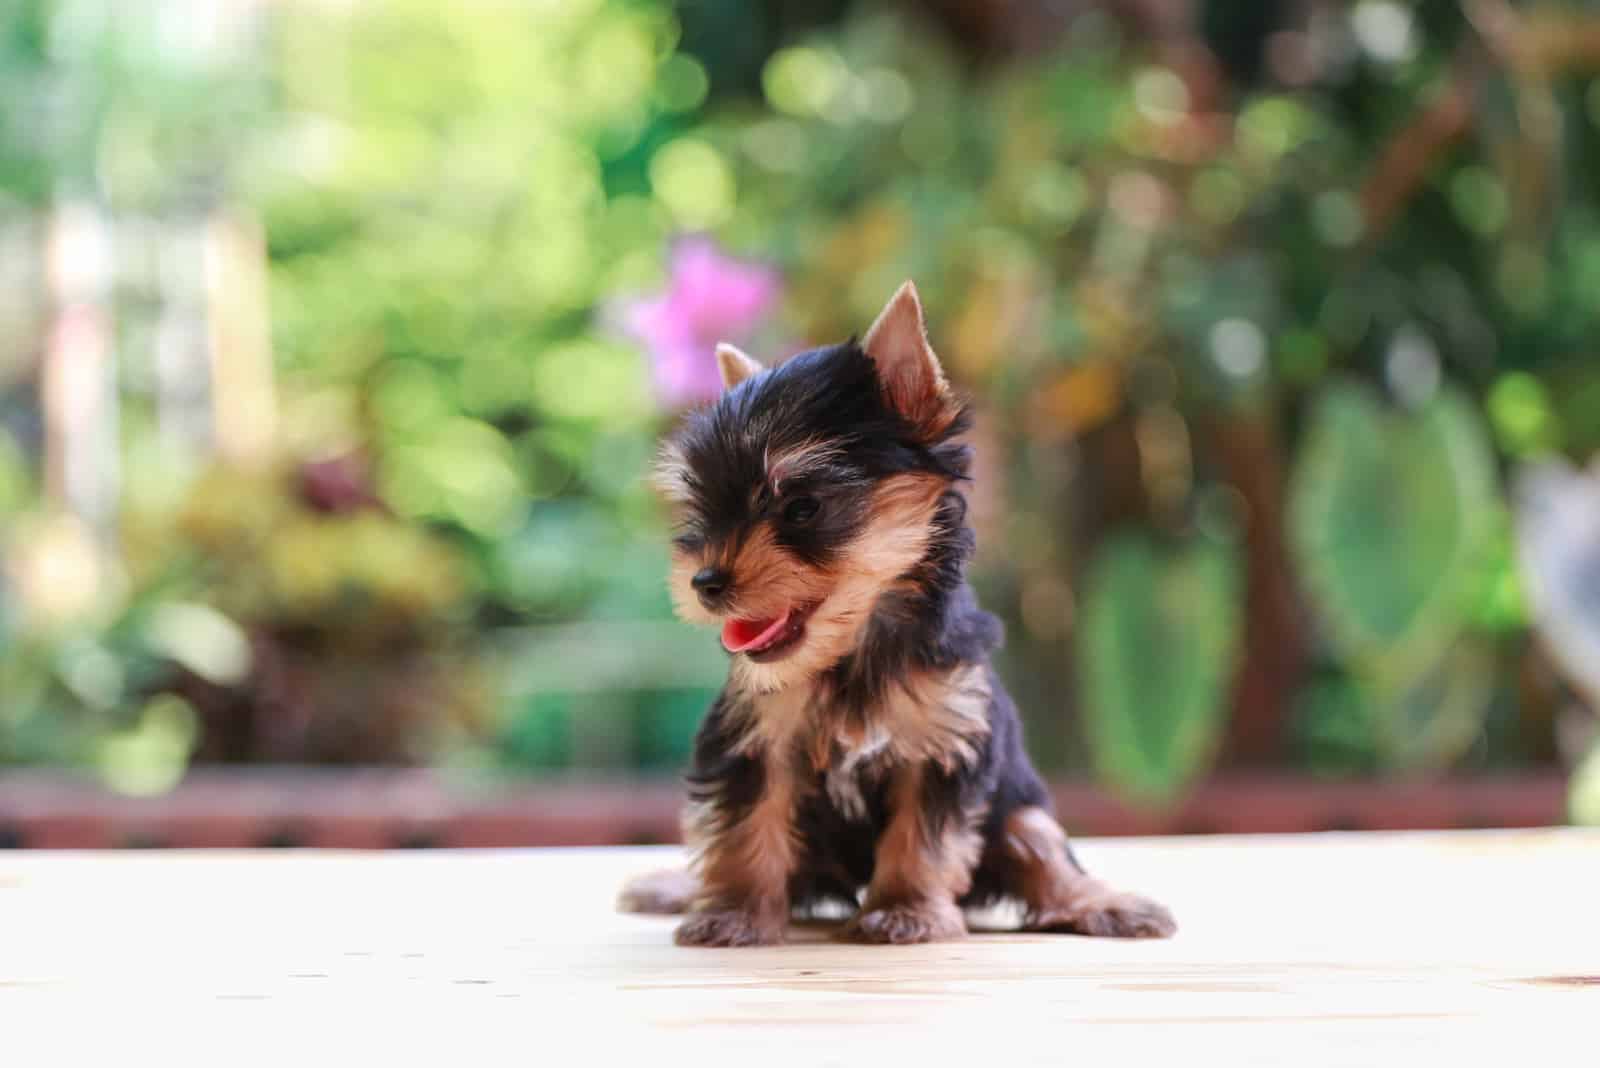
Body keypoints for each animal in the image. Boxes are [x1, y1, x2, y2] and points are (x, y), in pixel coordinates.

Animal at [620, 279, 1177, 946]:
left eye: (802, 508)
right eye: (703, 511)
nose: (704, 581)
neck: (856, 647)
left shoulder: (944, 739)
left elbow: (923, 835)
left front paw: (906, 910)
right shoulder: (756, 734)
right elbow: (745, 823)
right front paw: (732, 912)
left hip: (1017, 803)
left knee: (1039, 842)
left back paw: (1102, 902)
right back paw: (677, 889)